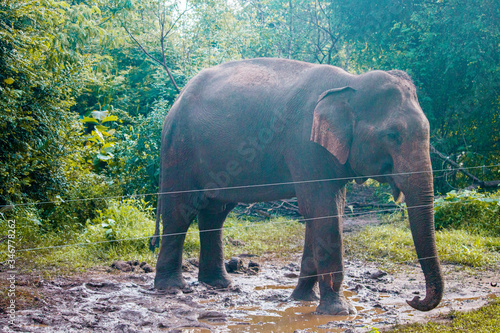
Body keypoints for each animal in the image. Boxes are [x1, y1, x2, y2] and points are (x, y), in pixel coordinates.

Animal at [150, 57, 444, 314]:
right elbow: (322, 211)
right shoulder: (305, 146)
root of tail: (175, 103)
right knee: (180, 212)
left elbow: (325, 211)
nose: (413, 298)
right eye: (392, 135)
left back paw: (220, 284)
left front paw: (302, 299)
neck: (350, 82)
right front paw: (339, 311)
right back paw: (173, 288)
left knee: (215, 213)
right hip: (180, 151)